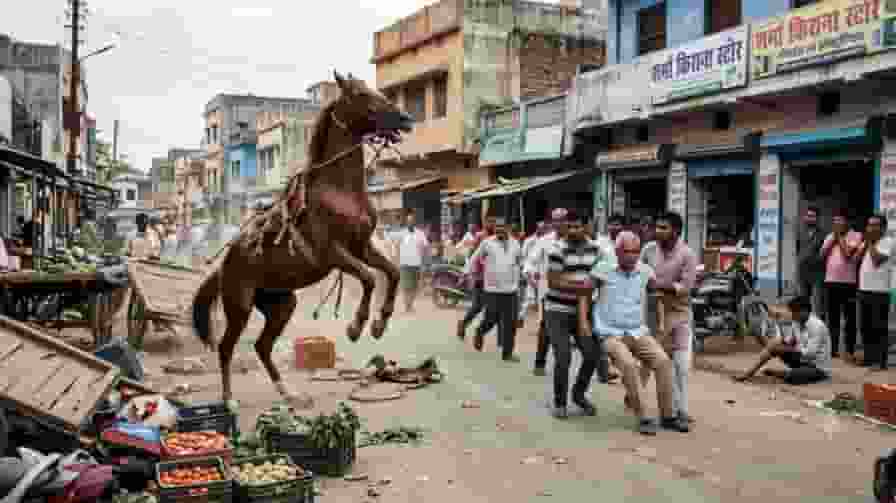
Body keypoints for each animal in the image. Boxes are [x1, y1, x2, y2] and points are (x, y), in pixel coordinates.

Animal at [191, 71, 413, 406]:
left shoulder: (362, 246)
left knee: (262, 346)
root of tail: (223, 266)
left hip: (281, 304)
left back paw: (288, 393)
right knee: (227, 346)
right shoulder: (332, 253)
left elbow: (393, 272)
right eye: (361, 94)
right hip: (239, 306)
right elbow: (369, 278)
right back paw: (229, 398)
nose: (405, 118)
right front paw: (356, 326)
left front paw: (378, 324)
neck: (340, 190)